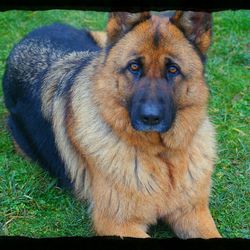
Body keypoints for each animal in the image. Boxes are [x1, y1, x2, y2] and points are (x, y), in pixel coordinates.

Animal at [1, 11, 221, 238]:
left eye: (173, 70)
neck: (161, 154)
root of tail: (37, 31)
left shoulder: (193, 213)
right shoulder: (117, 224)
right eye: (134, 67)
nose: (150, 118)